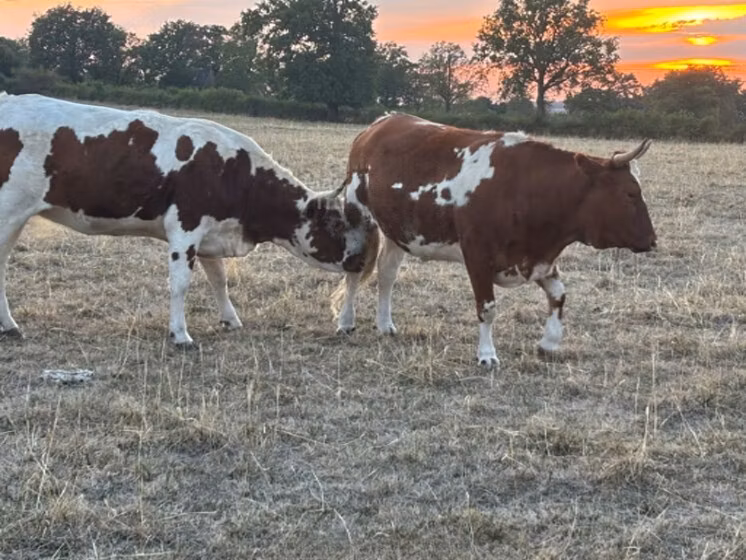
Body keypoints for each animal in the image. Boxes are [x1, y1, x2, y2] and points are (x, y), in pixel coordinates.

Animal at [0, 93, 378, 346]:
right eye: (336, 224)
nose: (360, 259)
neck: (237, 173)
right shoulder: (185, 229)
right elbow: (181, 283)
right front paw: (180, 333)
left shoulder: (211, 235)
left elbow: (219, 281)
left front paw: (230, 319)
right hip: (9, 213)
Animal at [333, 113, 657, 367]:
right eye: (630, 193)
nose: (653, 241)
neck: (526, 189)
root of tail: (378, 124)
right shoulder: (477, 256)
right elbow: (487, 309)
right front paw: (486, 354)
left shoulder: (535, 258)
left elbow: (559, 296)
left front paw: (550, 342)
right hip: (359, 219)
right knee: (354, 272)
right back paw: (346, 321)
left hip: (397, 231)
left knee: (386, 275)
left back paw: (385, 323)